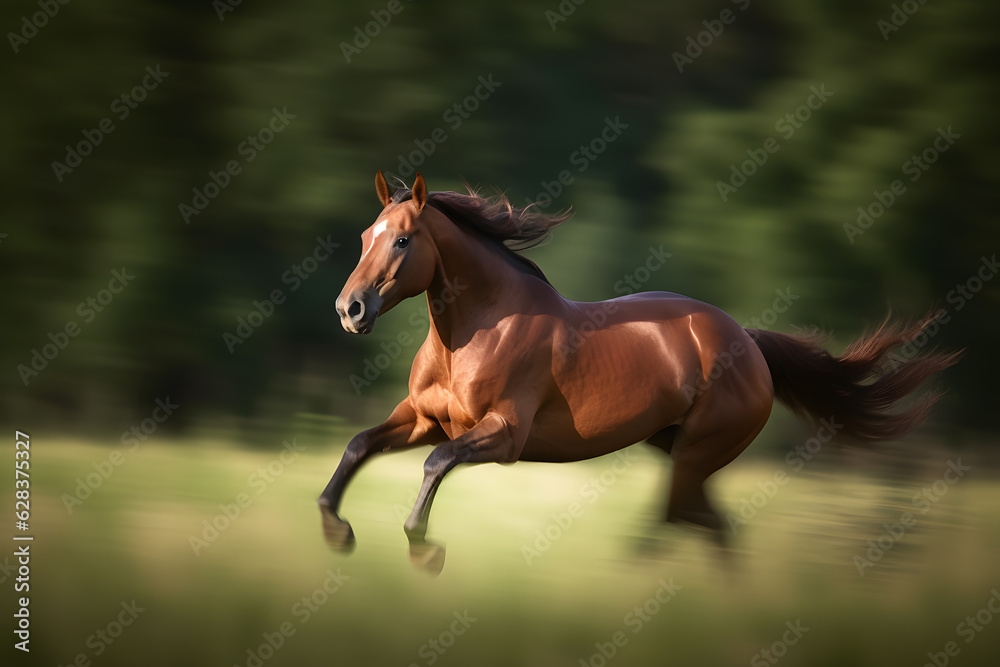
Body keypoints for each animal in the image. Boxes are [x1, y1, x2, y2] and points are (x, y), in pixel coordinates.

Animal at [318, 171, 958, 573]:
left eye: (403, 240)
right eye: (366, 235)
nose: (348, 310)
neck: (476, 331)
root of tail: (746, 341)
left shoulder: (503, 435)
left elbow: (436, 463)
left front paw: (423, 548)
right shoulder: (423, 418)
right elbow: (357, 445)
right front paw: (337, 530)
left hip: (698, 453)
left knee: (679, 522)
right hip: (678, 449)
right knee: (711, 526)